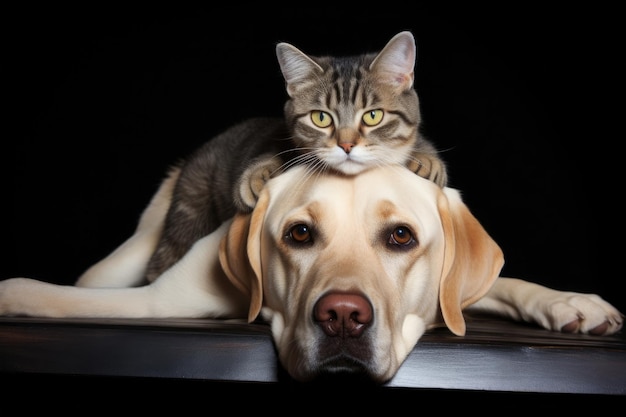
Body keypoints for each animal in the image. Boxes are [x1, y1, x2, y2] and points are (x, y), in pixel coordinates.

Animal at [0, 163, 620, 384]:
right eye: (299, 234)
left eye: (401, 237)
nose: (342, 317)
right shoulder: (159, 299)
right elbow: (50, 295)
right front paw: (12, 291)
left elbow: (497, 288)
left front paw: (569, 302)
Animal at [141, 30, 446, 282]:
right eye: (321, 118)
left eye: (373, 116)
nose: (346, 145)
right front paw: (257, 176)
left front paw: (426, 159)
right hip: (189, 212)